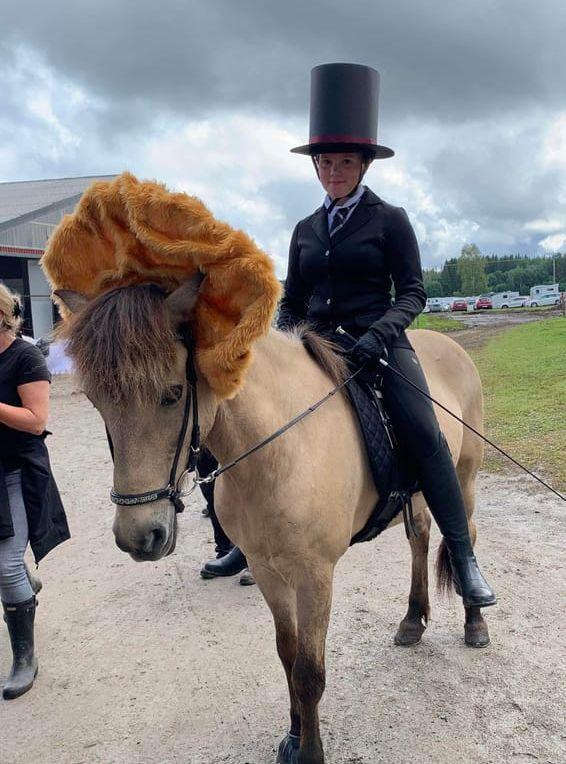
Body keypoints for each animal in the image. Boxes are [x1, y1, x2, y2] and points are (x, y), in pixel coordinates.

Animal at [56, 280, 492, 764]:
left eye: (172, 393)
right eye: (97, 402)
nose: (138, 536)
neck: (279, 447)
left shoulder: (315, 576)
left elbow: (309, 672)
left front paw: (310, 751)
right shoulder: (266, 570)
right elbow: (287, 656)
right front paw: (295, 735)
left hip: (462, 477)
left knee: (464, 533)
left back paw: (475, 618)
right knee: (420, 541)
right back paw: (413, 619)